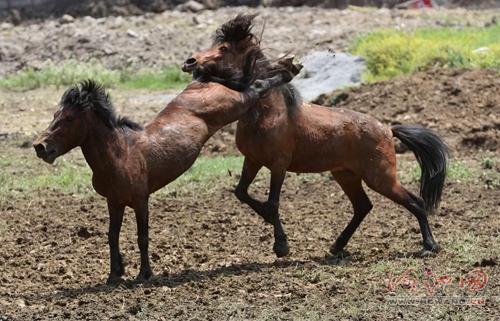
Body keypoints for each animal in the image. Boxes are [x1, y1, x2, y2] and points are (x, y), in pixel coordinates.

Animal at [33, 63, 298, 282]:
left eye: (68, 119)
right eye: (55, 115)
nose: (40, 147)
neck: (120, 154)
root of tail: (203, 81)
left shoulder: (140, 200)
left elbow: (142, 236)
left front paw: (144, 274)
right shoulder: (114, 202)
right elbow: (112, 236)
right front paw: (114, 275)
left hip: (237, 103)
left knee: (258, 86)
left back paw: (288, 72)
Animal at [184, 15, 450, 258]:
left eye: (224, 48)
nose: (190, 62)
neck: (269, 112)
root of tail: (387, 129)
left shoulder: (278, 165)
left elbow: (272, 203)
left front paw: (281, 246)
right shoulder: (252, 160)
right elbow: (241, 193)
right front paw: (276, 233)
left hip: (381, 178)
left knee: (415, 202)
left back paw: (429, 247)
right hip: (346, 175)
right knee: (363, 207)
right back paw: (337, 246)